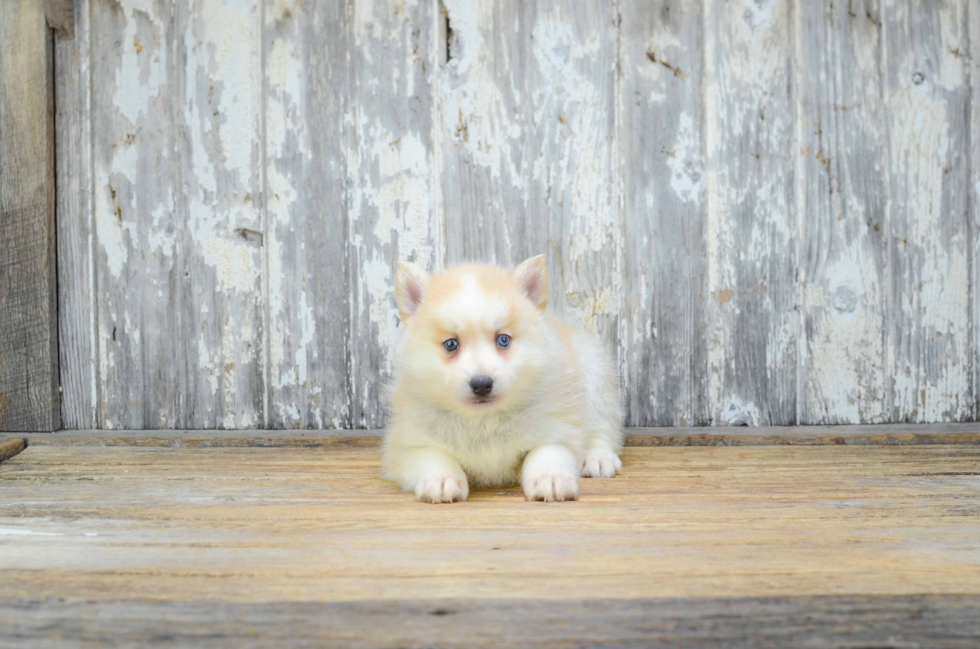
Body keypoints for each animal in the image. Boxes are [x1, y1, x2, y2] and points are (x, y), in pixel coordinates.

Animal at [382, 256, 620, 504]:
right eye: (451, 344)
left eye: (503, 339)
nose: (481, 384)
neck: (484, 421)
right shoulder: (407, 444)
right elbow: (432, 457)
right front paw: (442, 479)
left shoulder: (557, 429)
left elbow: (547, 452)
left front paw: (550, 478)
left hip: (594, 375)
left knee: (603, 428)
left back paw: (597, 459)